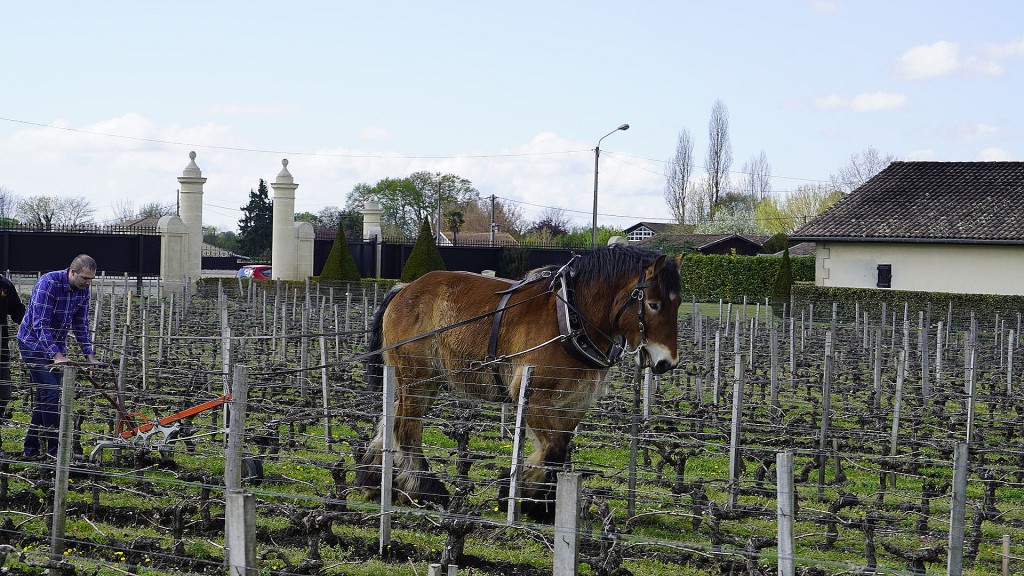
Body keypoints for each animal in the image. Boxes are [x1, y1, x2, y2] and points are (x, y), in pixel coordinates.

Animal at [356, 243, 684, 518]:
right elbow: (552, 448)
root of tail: (405, 288)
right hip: (418, 378)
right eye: (653, 304)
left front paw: (539, 500)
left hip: (413, 379)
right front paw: (519, 495)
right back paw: (425, 489)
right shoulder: (533, 395)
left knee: (391, 421)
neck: (569, 316)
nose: (667, 362)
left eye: (678, 304)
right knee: (407, 428)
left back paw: (375, 479)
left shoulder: (575, 401)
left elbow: (559, 449)